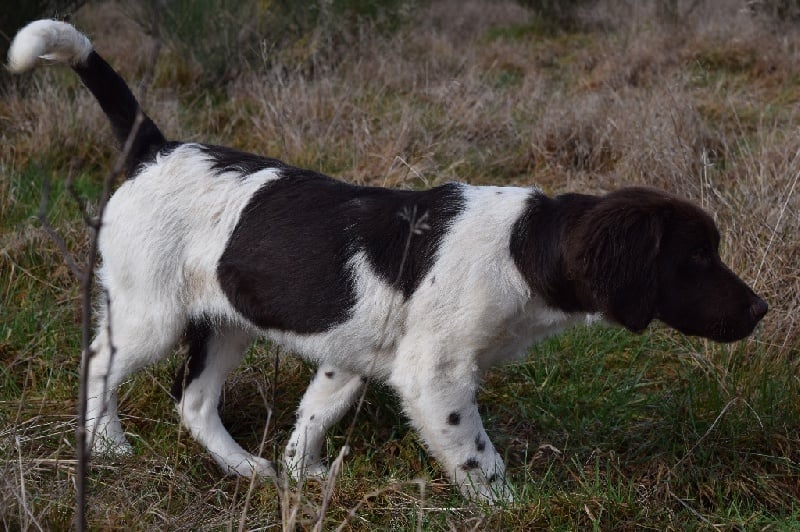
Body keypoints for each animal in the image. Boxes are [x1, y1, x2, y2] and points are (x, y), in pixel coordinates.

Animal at [9, 19, 764, 502]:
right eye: (697, 257)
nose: (761, 309)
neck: (523, 245)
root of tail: (156, 150)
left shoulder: (351, 354)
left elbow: (313, 417)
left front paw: (304, 477)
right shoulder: (435, 377)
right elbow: (479, 460)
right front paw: (512, 509)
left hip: (227, 320)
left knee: (194, 402)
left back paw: (249, 470)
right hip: (152, 315)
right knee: (99, 365)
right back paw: (107, 446)